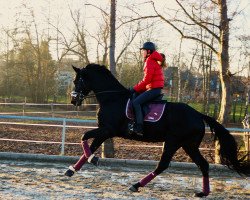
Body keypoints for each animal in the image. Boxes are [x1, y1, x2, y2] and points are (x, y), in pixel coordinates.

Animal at [65, 63, 250, 197]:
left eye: (77, 81)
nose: (73, 100)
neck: (112, 98)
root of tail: (197, 114)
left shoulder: (107, 130)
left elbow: (84, 137)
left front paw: (93, 159)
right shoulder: (105, 131)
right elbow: (90, 145)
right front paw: (72, 170)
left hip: (173, 142)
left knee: (163, 165)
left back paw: (136, 185)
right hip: (188, 145)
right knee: (202, 164)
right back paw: (203, 192)